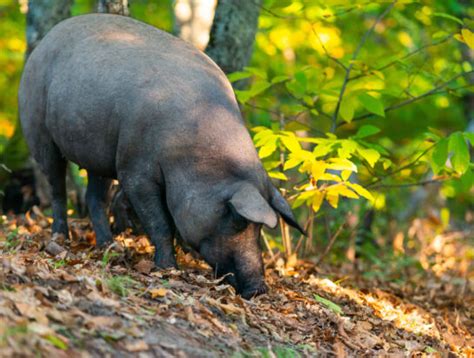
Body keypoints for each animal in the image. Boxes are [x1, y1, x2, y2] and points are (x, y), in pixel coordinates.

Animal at [18, 14, 304, 300]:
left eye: (258, 229)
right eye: (236, 220)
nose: (258, 288)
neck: (194, 155)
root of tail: (46, 39)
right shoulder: (135, 172)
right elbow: (160, 222)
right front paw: (168, 268)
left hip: (99, 156)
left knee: (94, 197)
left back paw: (108, 246)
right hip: (39, 130)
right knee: (57, 187)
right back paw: (61, 238)